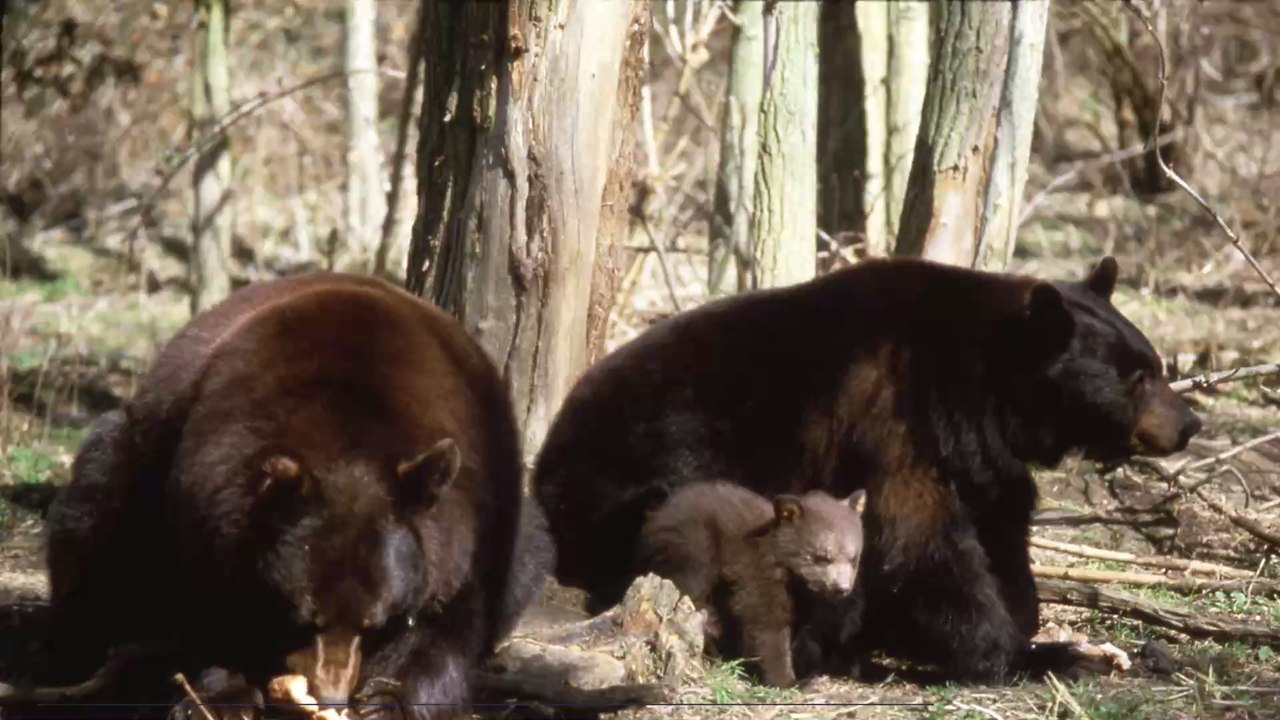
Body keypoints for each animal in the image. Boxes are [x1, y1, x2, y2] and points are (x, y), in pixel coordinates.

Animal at [44, 272, 550, 719]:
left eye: (374, 622)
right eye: (306, 617)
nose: (330, 696)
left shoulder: (467, 519)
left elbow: (449, 623)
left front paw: (388, 699)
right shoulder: (207, 487)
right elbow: (205, 604)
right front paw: (224, 696)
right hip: (132, 463)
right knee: (94, 517)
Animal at [638, 482, 865, 687]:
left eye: (853, 558)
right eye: (822, 557)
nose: (842, 588)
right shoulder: (760, 574)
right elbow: (766, 623)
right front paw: (789, 681)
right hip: (693, 542)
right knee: (693, 586)